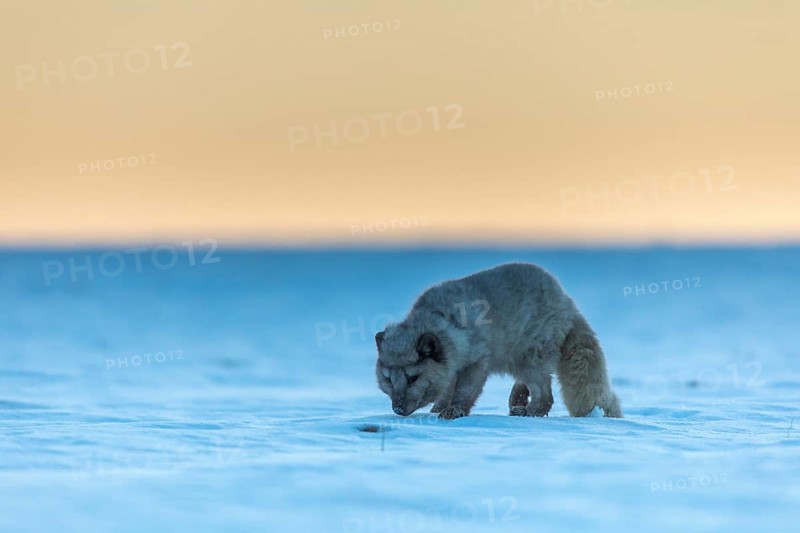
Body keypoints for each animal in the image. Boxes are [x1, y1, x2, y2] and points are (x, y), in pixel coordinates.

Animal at [374, 263, 622, 420]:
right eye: (388, 380)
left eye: (413, 378)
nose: (398, 409)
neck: (446, 324)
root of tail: (567, 302)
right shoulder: (452, 367)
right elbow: (447, 392)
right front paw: (437, 410)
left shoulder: (476, 361)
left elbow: (464, 392)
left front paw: (453, 413)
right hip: (519, 359)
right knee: (528, 385)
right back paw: (517, 403)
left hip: (531, 357)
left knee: (546, 397)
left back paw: (527, 414)